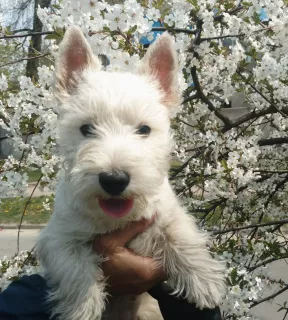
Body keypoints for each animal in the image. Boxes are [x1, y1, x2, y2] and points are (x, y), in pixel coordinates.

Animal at [36, 26, 226, 320]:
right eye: (86, 128)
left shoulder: (168, 214)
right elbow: (76, 271)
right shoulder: (58, 238)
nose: (114, 180)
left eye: (144, 129)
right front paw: (82, 309)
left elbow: (183, 239)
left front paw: (204, 284)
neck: (116, 219)